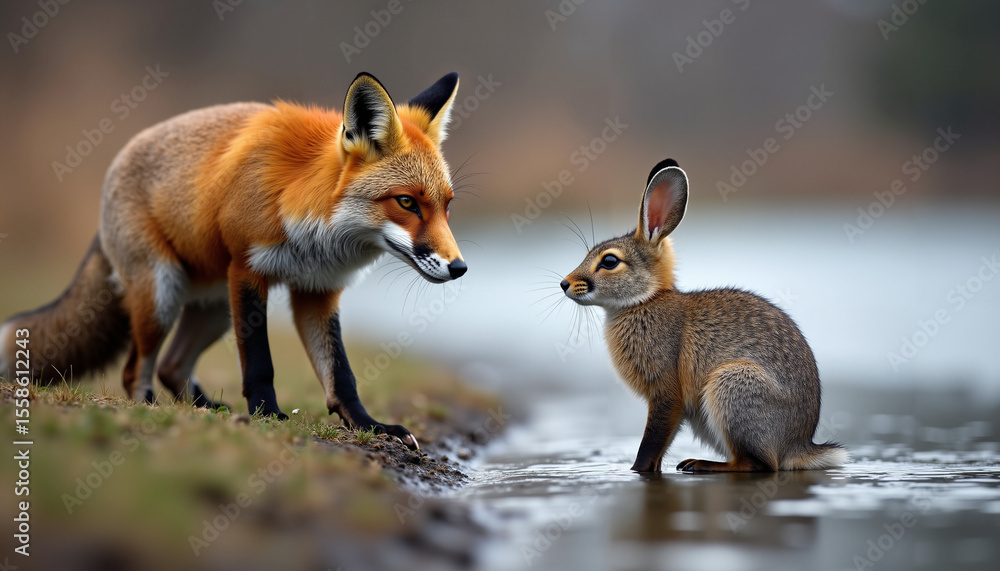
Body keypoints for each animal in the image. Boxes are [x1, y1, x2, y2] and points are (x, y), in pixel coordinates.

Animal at [0, 72, 470, 449]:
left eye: (447, 206)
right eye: (407, 202)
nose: (459, 268)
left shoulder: (317, 291)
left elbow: (341, 376)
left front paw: (371, 426)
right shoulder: (248, 271)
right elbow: (260, 363)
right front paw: (268, 415)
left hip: (214, 309)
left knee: (171, 366)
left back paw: (205, 410)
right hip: (164, 296)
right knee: (136, 371)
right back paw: (154, 412)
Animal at [560, 158, 848, 472]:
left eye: (610, 261)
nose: (564, 284)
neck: (645, 300)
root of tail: (799, 446)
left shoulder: (666, 395)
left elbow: (652, 442)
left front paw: (636, 470)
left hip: (732, 386)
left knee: (757, 464)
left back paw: (703, 464)